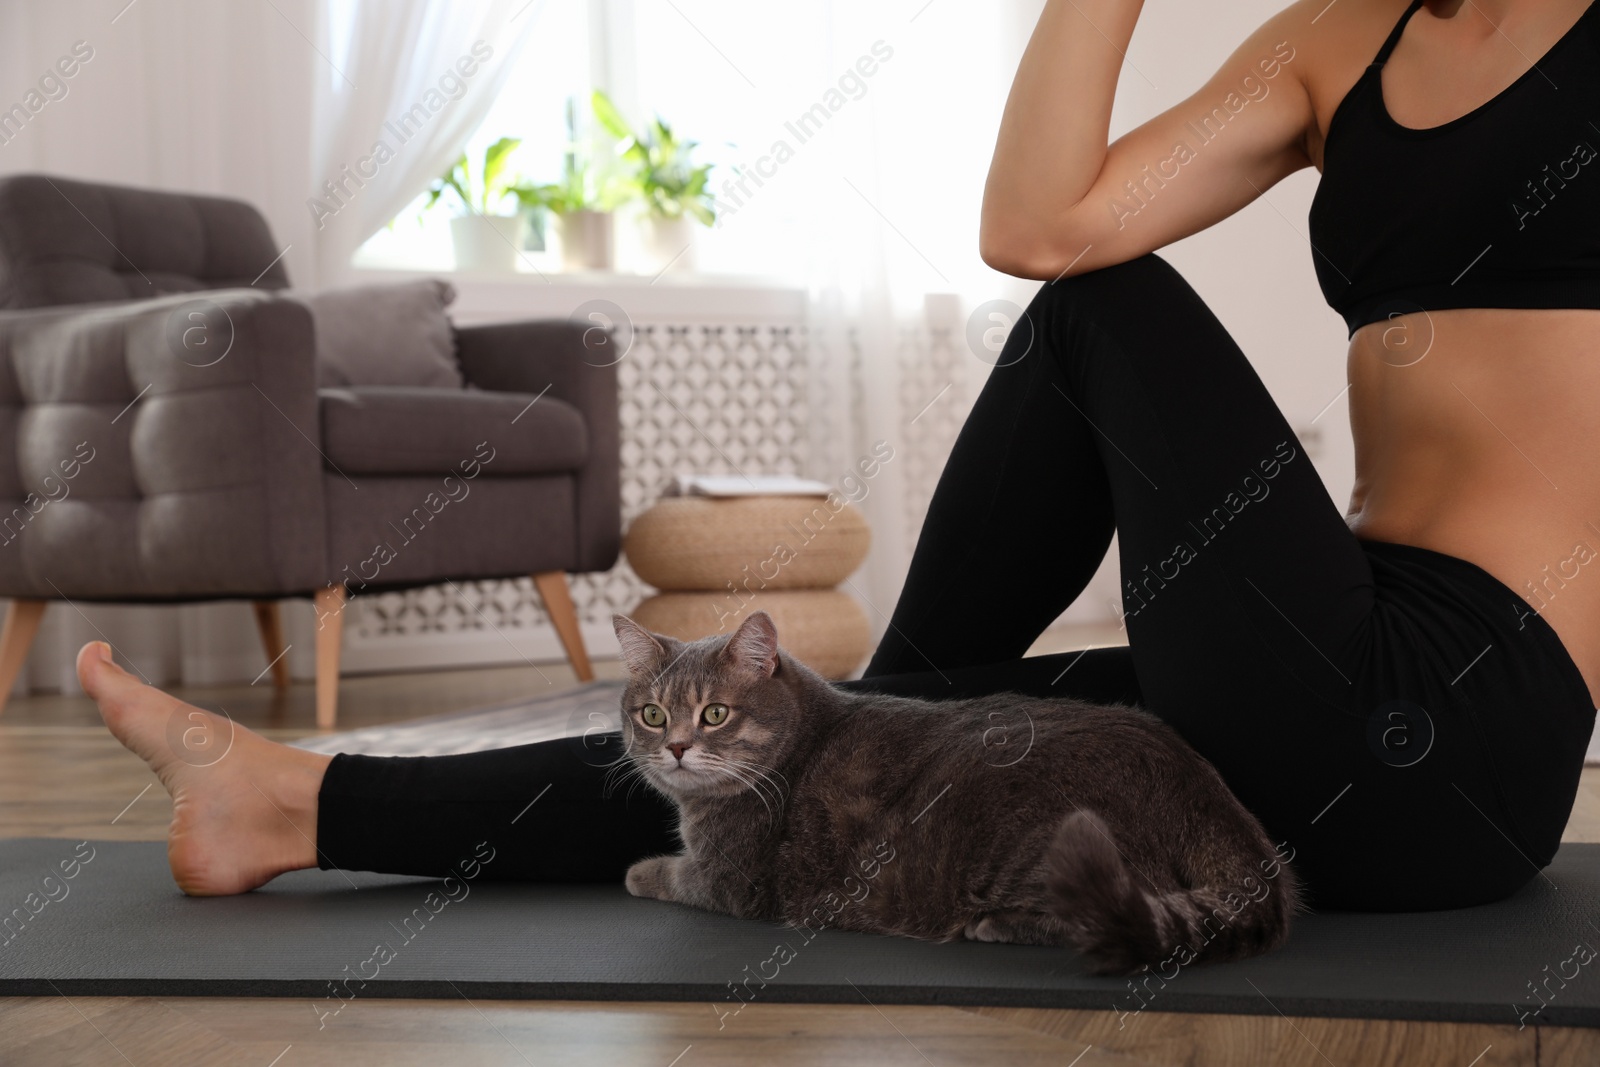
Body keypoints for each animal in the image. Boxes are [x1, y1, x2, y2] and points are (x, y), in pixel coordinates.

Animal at [611, 607, 1299, 979]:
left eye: (715, 714)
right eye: (652, 715)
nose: (676, 747)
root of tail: (1206, 792)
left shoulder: (728, 880)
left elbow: (670, 874)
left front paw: (637, 870)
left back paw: (993, 925)